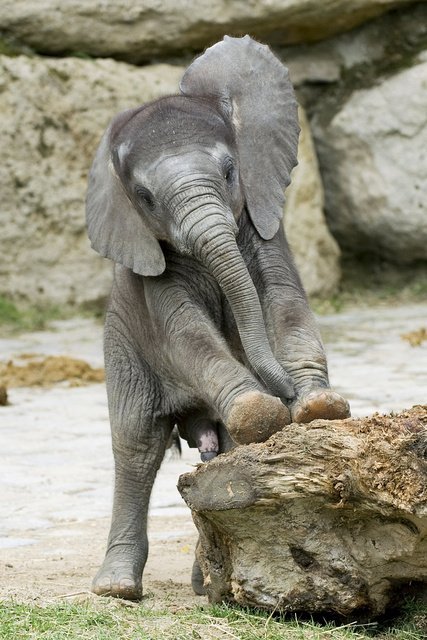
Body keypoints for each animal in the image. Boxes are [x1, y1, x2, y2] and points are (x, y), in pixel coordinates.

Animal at [85, 35, 350, 601]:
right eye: (145, 199)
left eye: (230, 172)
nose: (282, 391)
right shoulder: (151, 283)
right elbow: (185, 332)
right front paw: (263, 410)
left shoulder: (264, 226)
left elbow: (285, 301)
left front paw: (317, 407)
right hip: (121, 345)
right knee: (136, 445)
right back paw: (119, 589)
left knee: (219, 449)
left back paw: (207, 581)